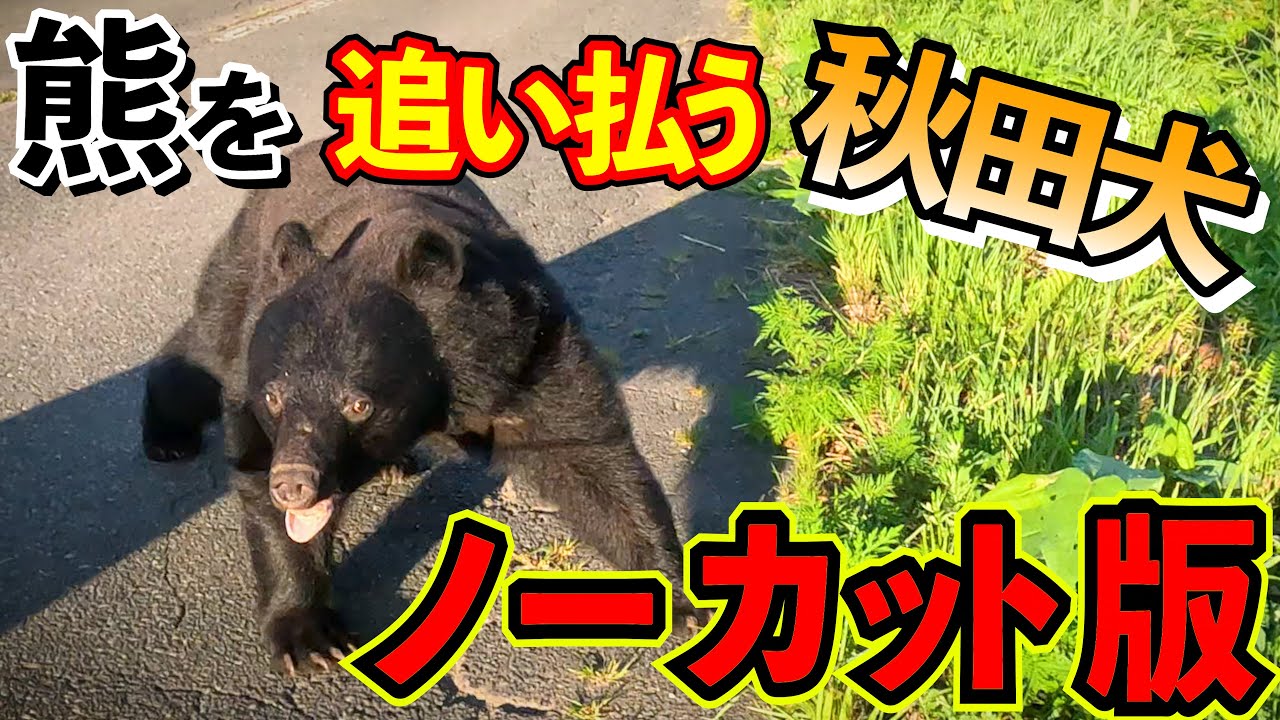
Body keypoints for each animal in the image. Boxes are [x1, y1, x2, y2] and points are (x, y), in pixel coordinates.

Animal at [141, 139, 691, 674]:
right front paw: (307, 638)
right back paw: (167, 437)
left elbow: (588, 456)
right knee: (203, 353)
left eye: (359, 404)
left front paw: (679, 604)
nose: (294, 485)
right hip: (241, 272)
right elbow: (255, 466)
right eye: (274, 398)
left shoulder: (528, 350)